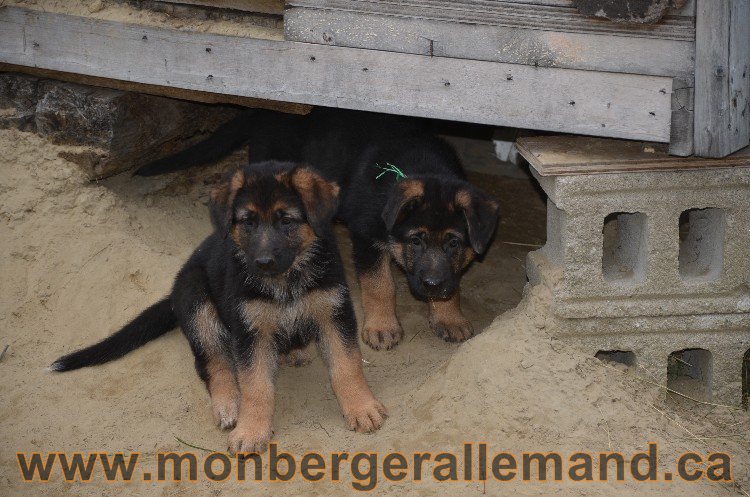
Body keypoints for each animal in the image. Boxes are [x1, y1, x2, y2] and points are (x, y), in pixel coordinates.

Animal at [50, 161, 388, 452]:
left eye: (286, 220)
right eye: (248, 222)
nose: (262, 262)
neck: (286, 282)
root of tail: (174, 293)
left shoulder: (334, 313)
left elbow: (346, 365)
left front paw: (361, 407)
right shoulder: (249, 332)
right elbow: (255, 386)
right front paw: (251, 430)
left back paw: (294, 351)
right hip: (199, 306)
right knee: (212, 363)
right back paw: (228, 404)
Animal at [137, 108, 500, 348]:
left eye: (454, 243)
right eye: (416, 241)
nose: (431, 285)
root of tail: (266, 111)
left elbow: (454, 282)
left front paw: (448, 315)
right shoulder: (366, 236)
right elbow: (378, 284)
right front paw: (382, 326)